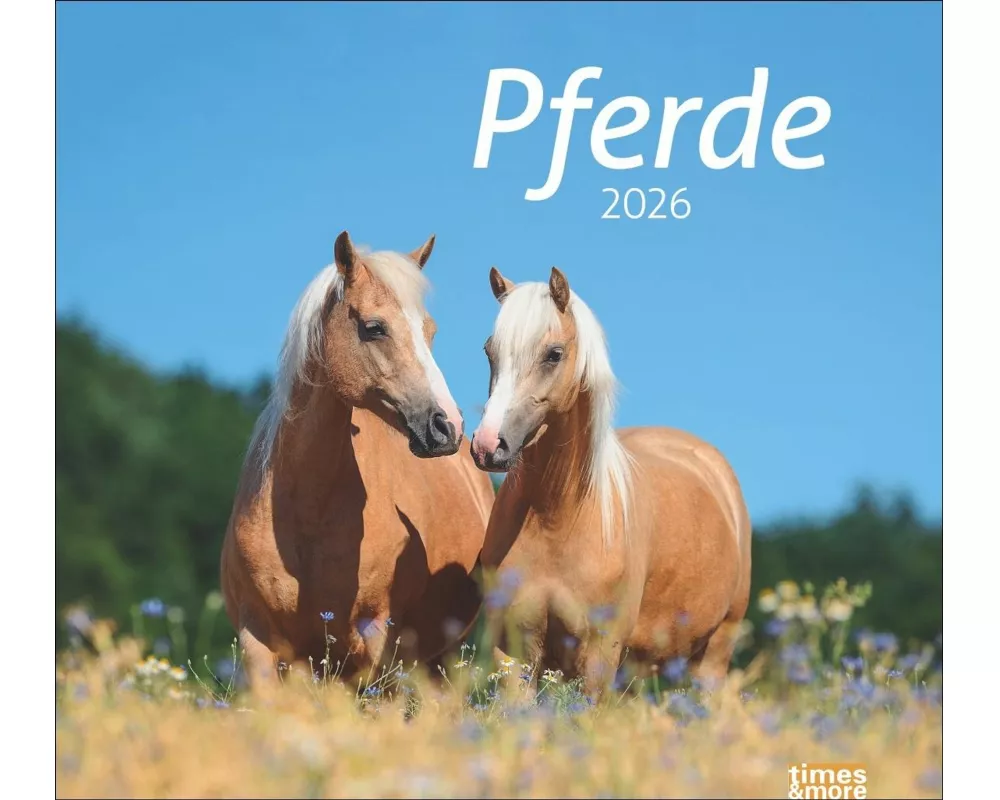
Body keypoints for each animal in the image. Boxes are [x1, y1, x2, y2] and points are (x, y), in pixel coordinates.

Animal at [469, 266, 751, 697]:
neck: (556, 520)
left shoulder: (599, 656)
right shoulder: (513, 652)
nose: (487, 446)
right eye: (490, 352)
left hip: (714, 656)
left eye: (554, 354)